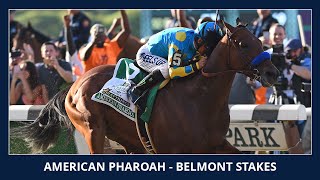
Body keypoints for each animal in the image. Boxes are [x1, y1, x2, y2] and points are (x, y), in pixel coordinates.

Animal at [11, 19, 278, 155]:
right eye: (243, 44)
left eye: (259, 41)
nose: (271, 72)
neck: (199, 99)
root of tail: (75, 84)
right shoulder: (174, 151)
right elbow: (172, 66)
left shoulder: (215, 145)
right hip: (92, 131)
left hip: (130, 142)